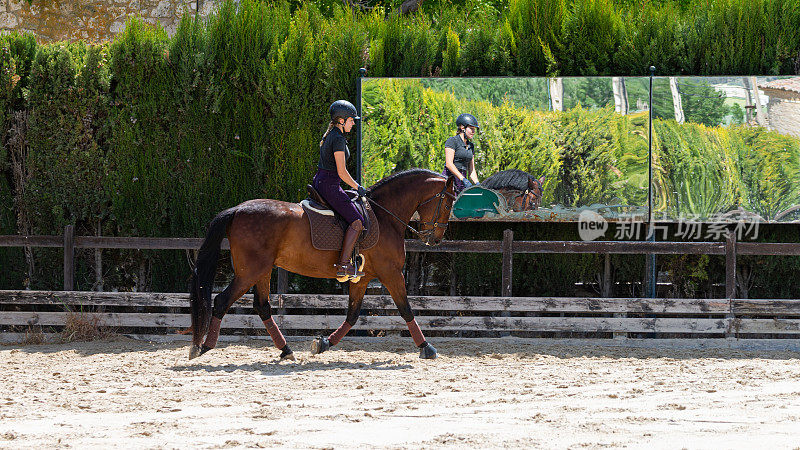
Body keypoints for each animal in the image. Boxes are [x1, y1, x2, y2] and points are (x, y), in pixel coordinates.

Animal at [187, 169, 456, 362]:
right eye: (447, 203)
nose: (435, 239)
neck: (384, 217)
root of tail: (238, 209)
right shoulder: (391, 273)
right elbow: (406, 309)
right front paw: (426, 347)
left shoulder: (362, 277)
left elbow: (353, 315)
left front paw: (323, 343)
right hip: (249, 272)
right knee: (222, 301)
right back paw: (203, 347)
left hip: (261, 271)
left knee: (262, 307)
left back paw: (286, 350)